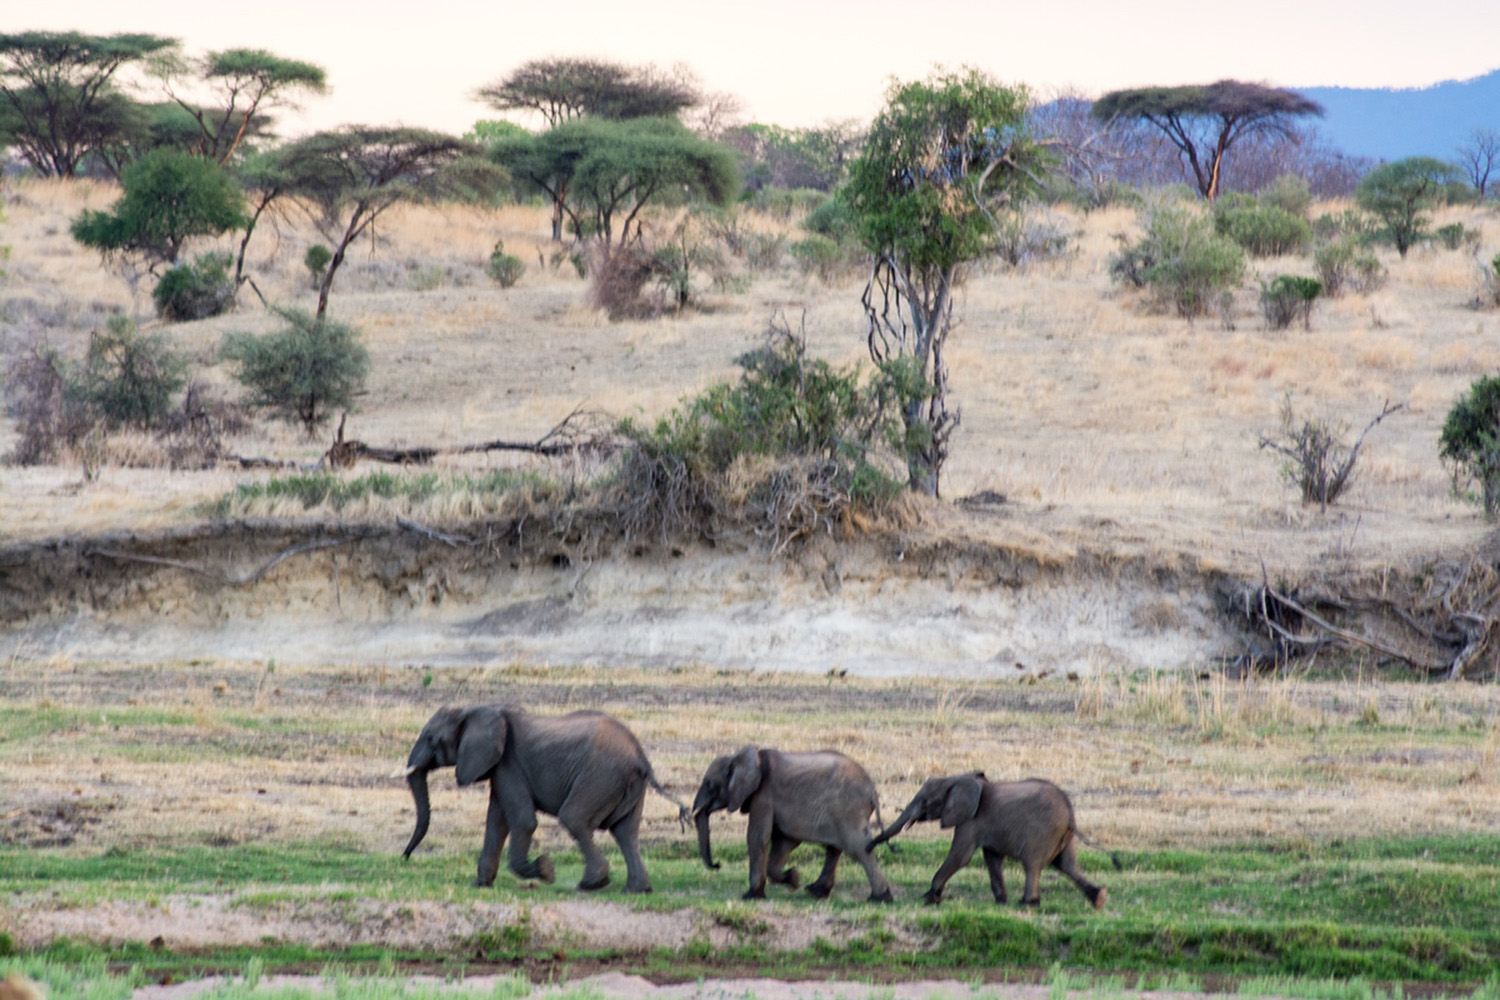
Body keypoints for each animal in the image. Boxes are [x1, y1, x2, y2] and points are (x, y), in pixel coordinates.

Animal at [396, 704, 687, 893]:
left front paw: (547, 871)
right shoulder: (499, 767)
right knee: (626, 832)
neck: (473, 710)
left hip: (601, 775)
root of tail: (641, 757)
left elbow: (523, 822)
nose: (405, 857)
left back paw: (591, 884)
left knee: (574, 818)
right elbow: (496, 822)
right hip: (625, 784)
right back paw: (636, 890)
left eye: (431, 738)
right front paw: (480, 885)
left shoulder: (509, 763)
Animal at [691, 744, 894, 902]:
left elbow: (757, 837)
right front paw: (795, 879)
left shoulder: (764, 795)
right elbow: (785, 841)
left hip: (849, 808)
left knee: (858, 846)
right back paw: (815, 892)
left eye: (709, 784)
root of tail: (872, 790)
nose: (717, 865)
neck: (742, 757)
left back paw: (880, 898)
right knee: (835, 848)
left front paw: (750, 896)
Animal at [868, 773, 1120, 909]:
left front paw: (929, 898)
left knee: (1033, 864)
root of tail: (1070, 814)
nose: (871, 845)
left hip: (1043, 831)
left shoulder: (971, 820)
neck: (957, 778)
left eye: (925, 801)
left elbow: (960, 857)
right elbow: (991, 858)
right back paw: (1099, 899)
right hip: (1063, 836)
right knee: (1067, 865)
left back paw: (1027, 903)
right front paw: (1001, 901)